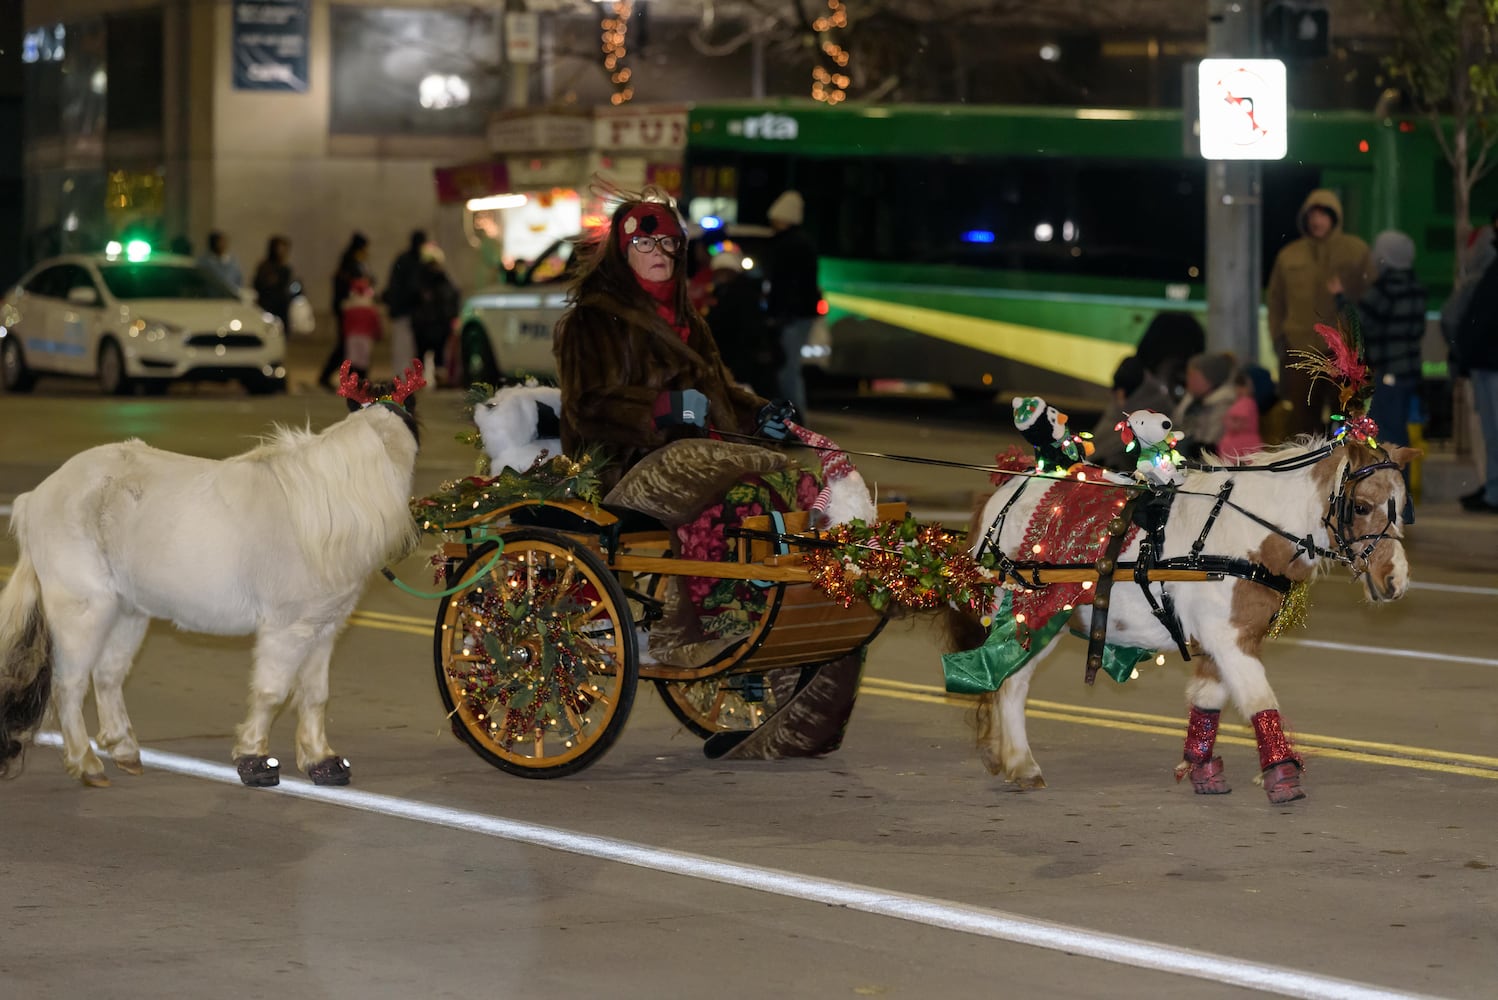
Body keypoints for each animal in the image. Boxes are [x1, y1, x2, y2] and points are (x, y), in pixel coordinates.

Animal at [0, 363, 425, 784]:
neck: (326, 506)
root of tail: (34, 498)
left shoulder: (323, 630)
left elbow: (314, 696)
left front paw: (322, 762)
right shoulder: (286, 630)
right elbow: (272, 692)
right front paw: (254, 760)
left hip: (127, 612)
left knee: (107, 676)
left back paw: (124, 750)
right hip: (84, 611)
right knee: (69, 685)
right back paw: (86, 763)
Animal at [958, 437, 1414, 802]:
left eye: (1403, 510)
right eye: (1361, 506)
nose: (1396, 580)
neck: (1239, 537)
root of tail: (1001, 495)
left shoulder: (1222, 641)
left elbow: (1208, 700)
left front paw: (1202, 770)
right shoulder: (1229, 638)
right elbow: (1260, 699)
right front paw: (1283, 775)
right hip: (1031, 613)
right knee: (1010, 683)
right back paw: (1022, 763)